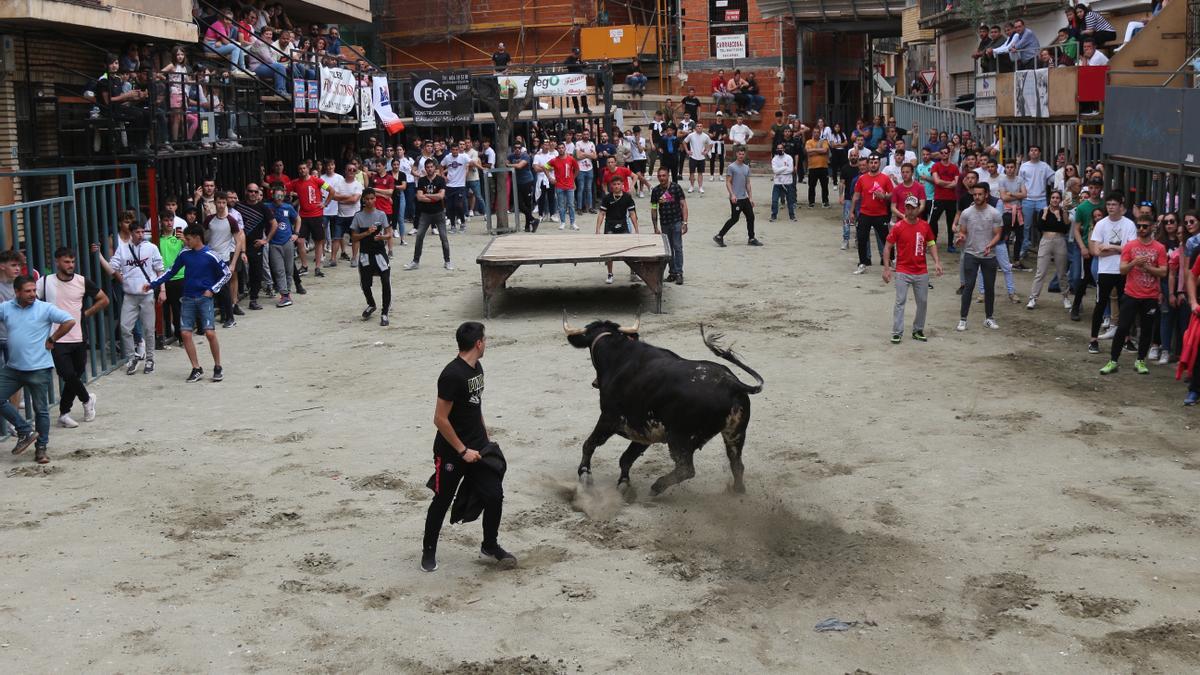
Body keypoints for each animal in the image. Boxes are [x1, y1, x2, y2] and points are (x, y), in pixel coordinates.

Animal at [559, 312, 758, 492]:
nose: (594, 383)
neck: (619, 355)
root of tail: (732, 383)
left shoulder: (609, 418)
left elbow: (590, 444)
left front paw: (585, 474)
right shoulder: (644, 429)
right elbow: (626, 458)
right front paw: (624, 483)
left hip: (680, 438)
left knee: (686, 469)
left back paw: (657, 486)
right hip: (735, 434)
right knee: (736, 464)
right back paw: (737, 491)